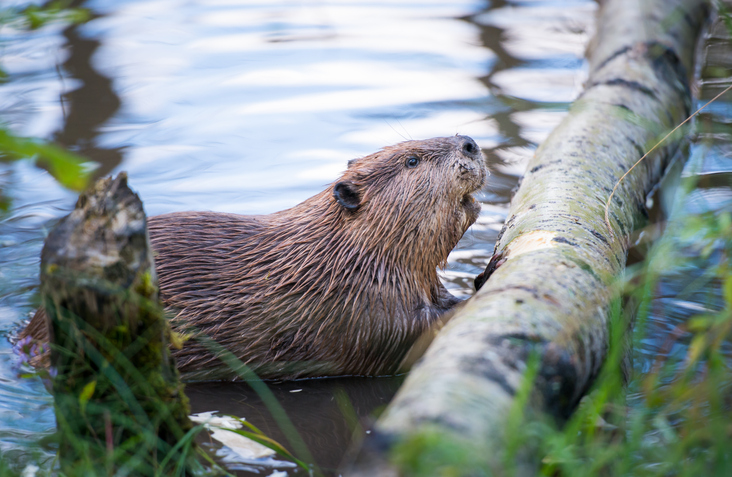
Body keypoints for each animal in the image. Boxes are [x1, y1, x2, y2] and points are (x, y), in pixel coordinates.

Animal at [22, 137, 486, 380]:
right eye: (412, 159)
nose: (469, 143)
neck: (338, 256)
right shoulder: (354, 305)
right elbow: (401, 335)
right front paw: (475, 294)